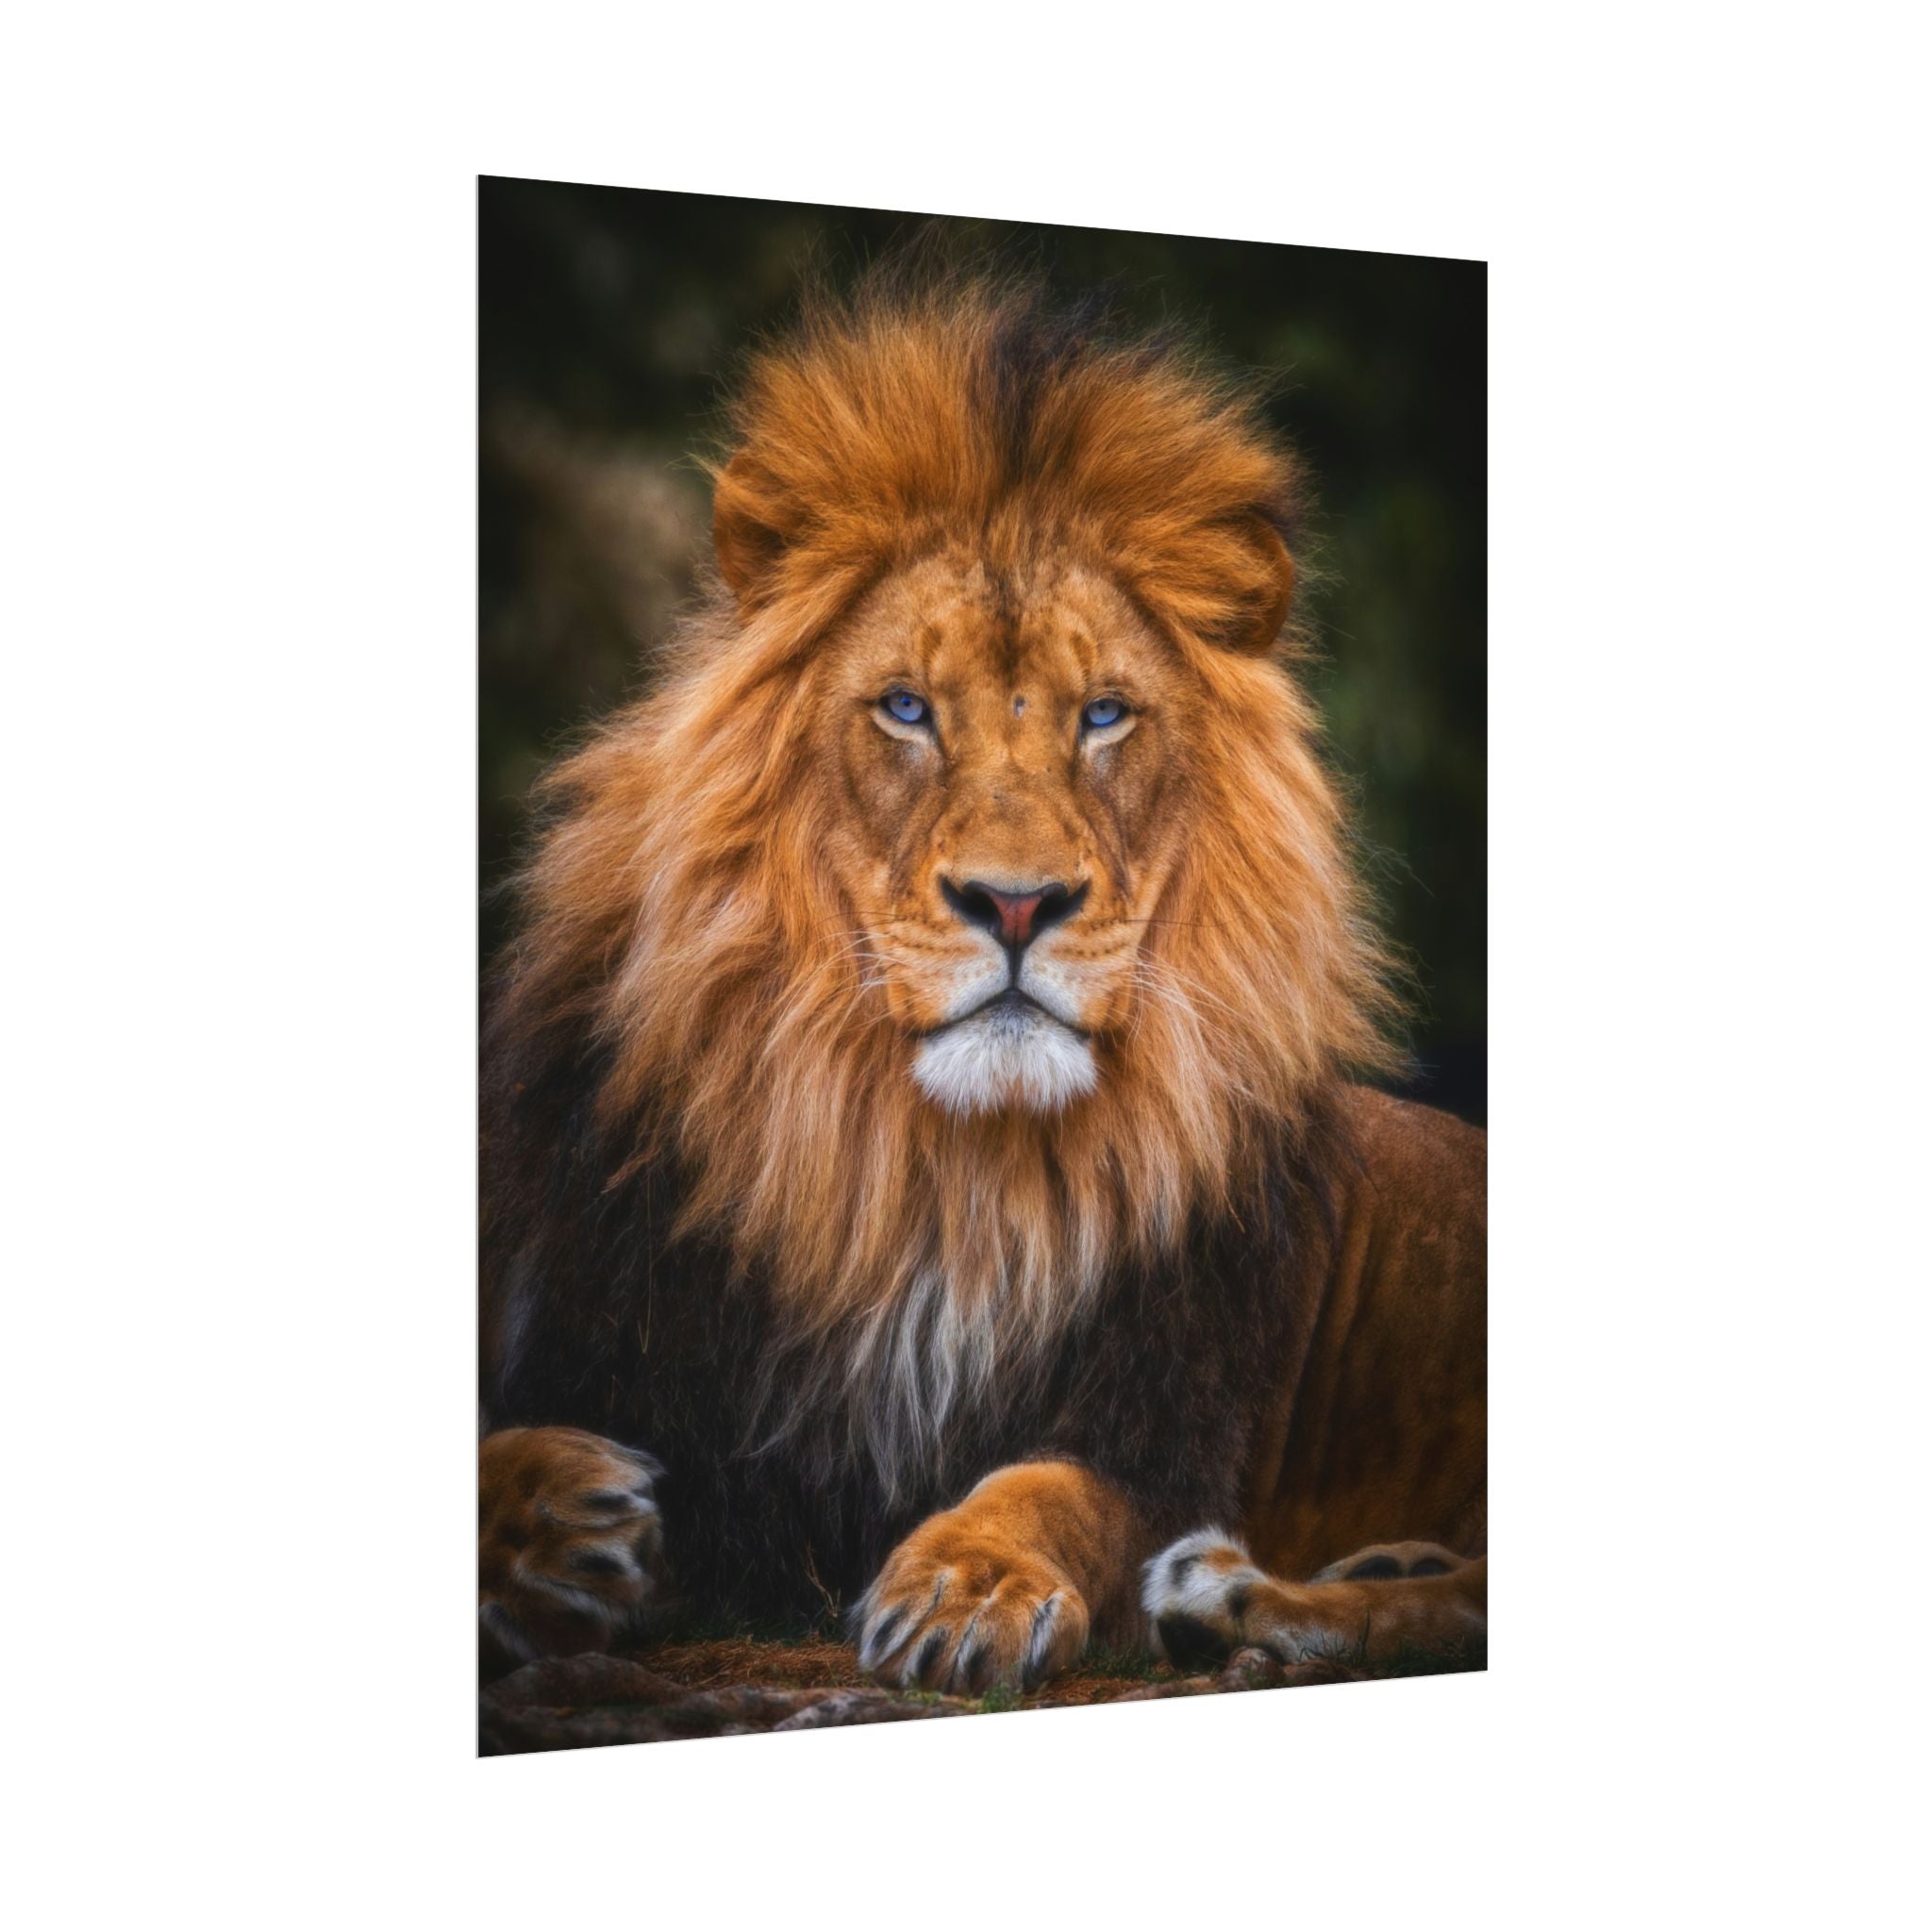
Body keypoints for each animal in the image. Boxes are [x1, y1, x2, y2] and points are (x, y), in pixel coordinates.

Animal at [479, 269, 1486, 1694]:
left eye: (1104, 715)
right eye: (905, 708)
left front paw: (968, 1584)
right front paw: (554, 1519)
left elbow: (1048, 1488)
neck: (934, 1176)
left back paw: (1239, 1599)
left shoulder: (1161, 1425)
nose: (1016, 903)